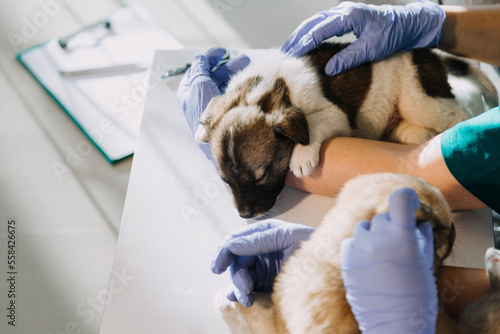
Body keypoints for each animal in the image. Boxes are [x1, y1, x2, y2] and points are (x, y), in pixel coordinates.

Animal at [194, 42, 496, 219]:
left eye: (261, 176)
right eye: (225, 181)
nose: (245, 216)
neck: (266, 90)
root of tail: (427, 52)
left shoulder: (334, 114)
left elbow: (313, 122)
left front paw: (302, 155)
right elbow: (214, 104)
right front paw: (201, 125)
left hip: (420, 99)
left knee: (455, 113)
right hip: (406, 122)